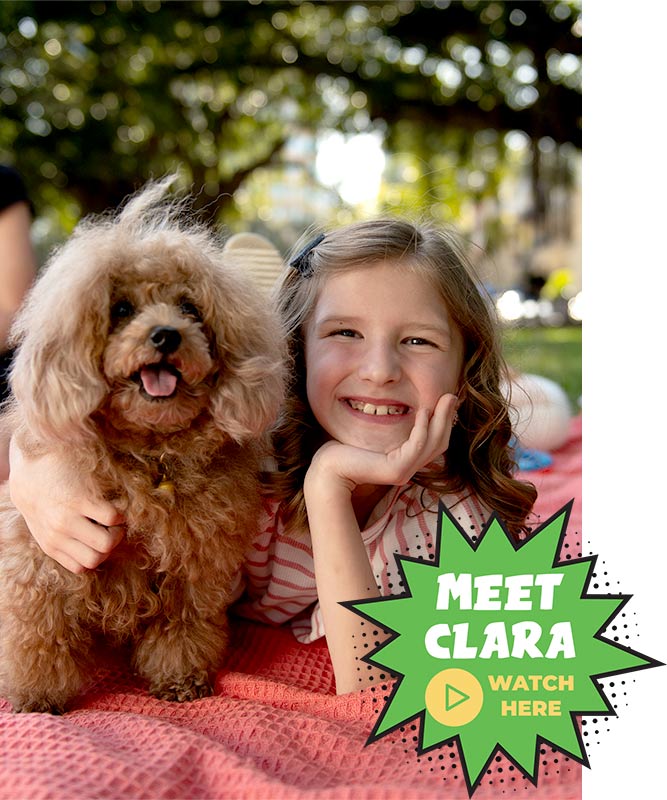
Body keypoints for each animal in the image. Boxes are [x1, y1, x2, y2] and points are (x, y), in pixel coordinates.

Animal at [0, 177, 284, 712]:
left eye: (190, 308)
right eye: (121, 309)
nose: (166, 335)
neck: (153, 459)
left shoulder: (193, 568)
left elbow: (182, 629)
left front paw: (181, 680)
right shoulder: (40, 563)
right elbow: (39, 635)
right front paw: (35, 694)